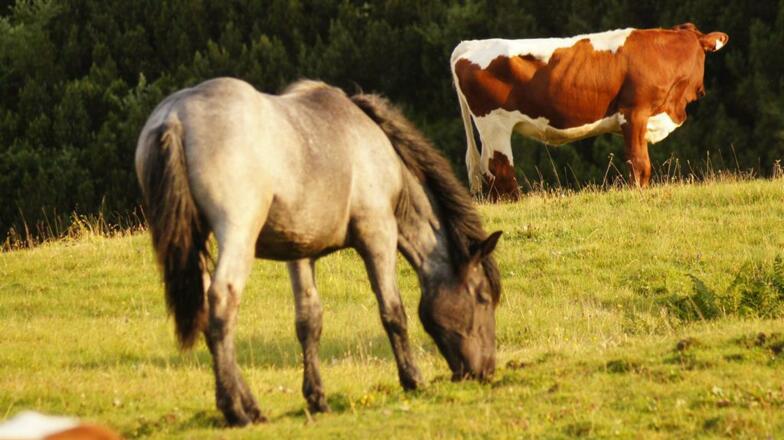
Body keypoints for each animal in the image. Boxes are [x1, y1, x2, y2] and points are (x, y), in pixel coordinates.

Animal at [135, 77, 503, 425]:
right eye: (483, 297)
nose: (485, 370)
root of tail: (175, 117)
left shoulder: (300, 251)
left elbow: (309, 322)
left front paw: (317, 398)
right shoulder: (378, 235)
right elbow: (393, 313)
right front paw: (413, 379)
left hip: (195, 242)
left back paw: (251, 406)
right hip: (237, 236)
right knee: (222, 303)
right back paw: (236, 412)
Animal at [451, 23, 729, 200]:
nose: (702, 89)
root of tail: (470, 45)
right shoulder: (633, 113)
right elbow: (639, 164)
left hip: (488, 131)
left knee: (490, 172)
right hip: (494, 125)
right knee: (501, 172)